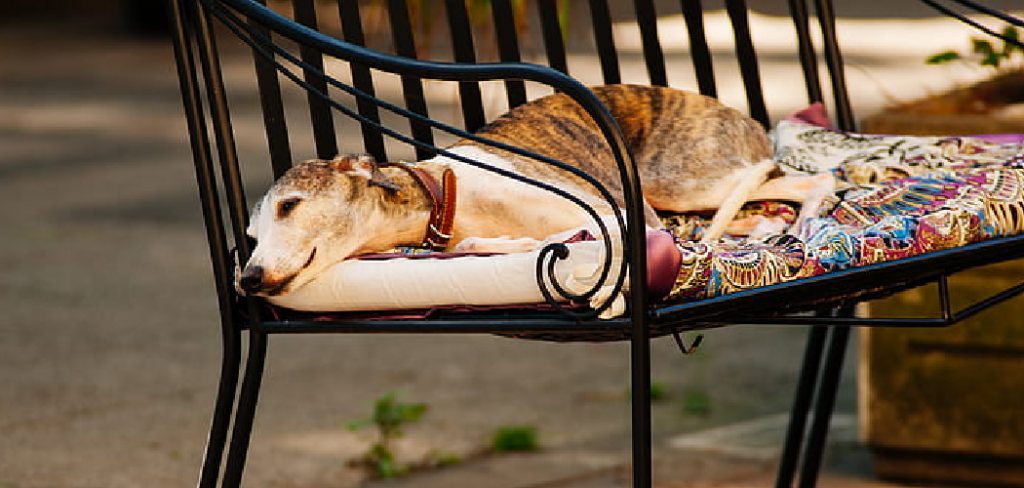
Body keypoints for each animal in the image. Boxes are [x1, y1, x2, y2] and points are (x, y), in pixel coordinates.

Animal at [237, 84, 831, 294]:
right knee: (758, 205)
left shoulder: (622, 214)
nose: (249, 279)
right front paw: (505, 245)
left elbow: (577, 234)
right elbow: (489, 243)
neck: (444, 194)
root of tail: (746, 118)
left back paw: (806, 218)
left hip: (678, 180)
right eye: (251, 236)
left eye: (290, 205)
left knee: (812, 178)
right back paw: (768, 224)